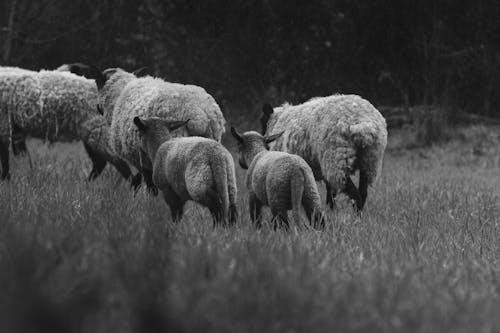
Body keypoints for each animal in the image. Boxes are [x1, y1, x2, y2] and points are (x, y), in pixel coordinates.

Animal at [0, 66, 133, 182]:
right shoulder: (15, 129)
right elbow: (20, 155)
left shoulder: (4, 122)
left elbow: (5, 157)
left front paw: (6, 180)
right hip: (92, 130)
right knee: (101, 162)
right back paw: (87, 184)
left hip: (96, 128)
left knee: (115, 160)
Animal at [260, 94, 388, 211]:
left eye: (262, 121)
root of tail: (363, 124)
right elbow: (331, 194)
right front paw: (332, 212)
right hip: (369, 161)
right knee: (363, 193)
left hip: (336, 161)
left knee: (355, 196)